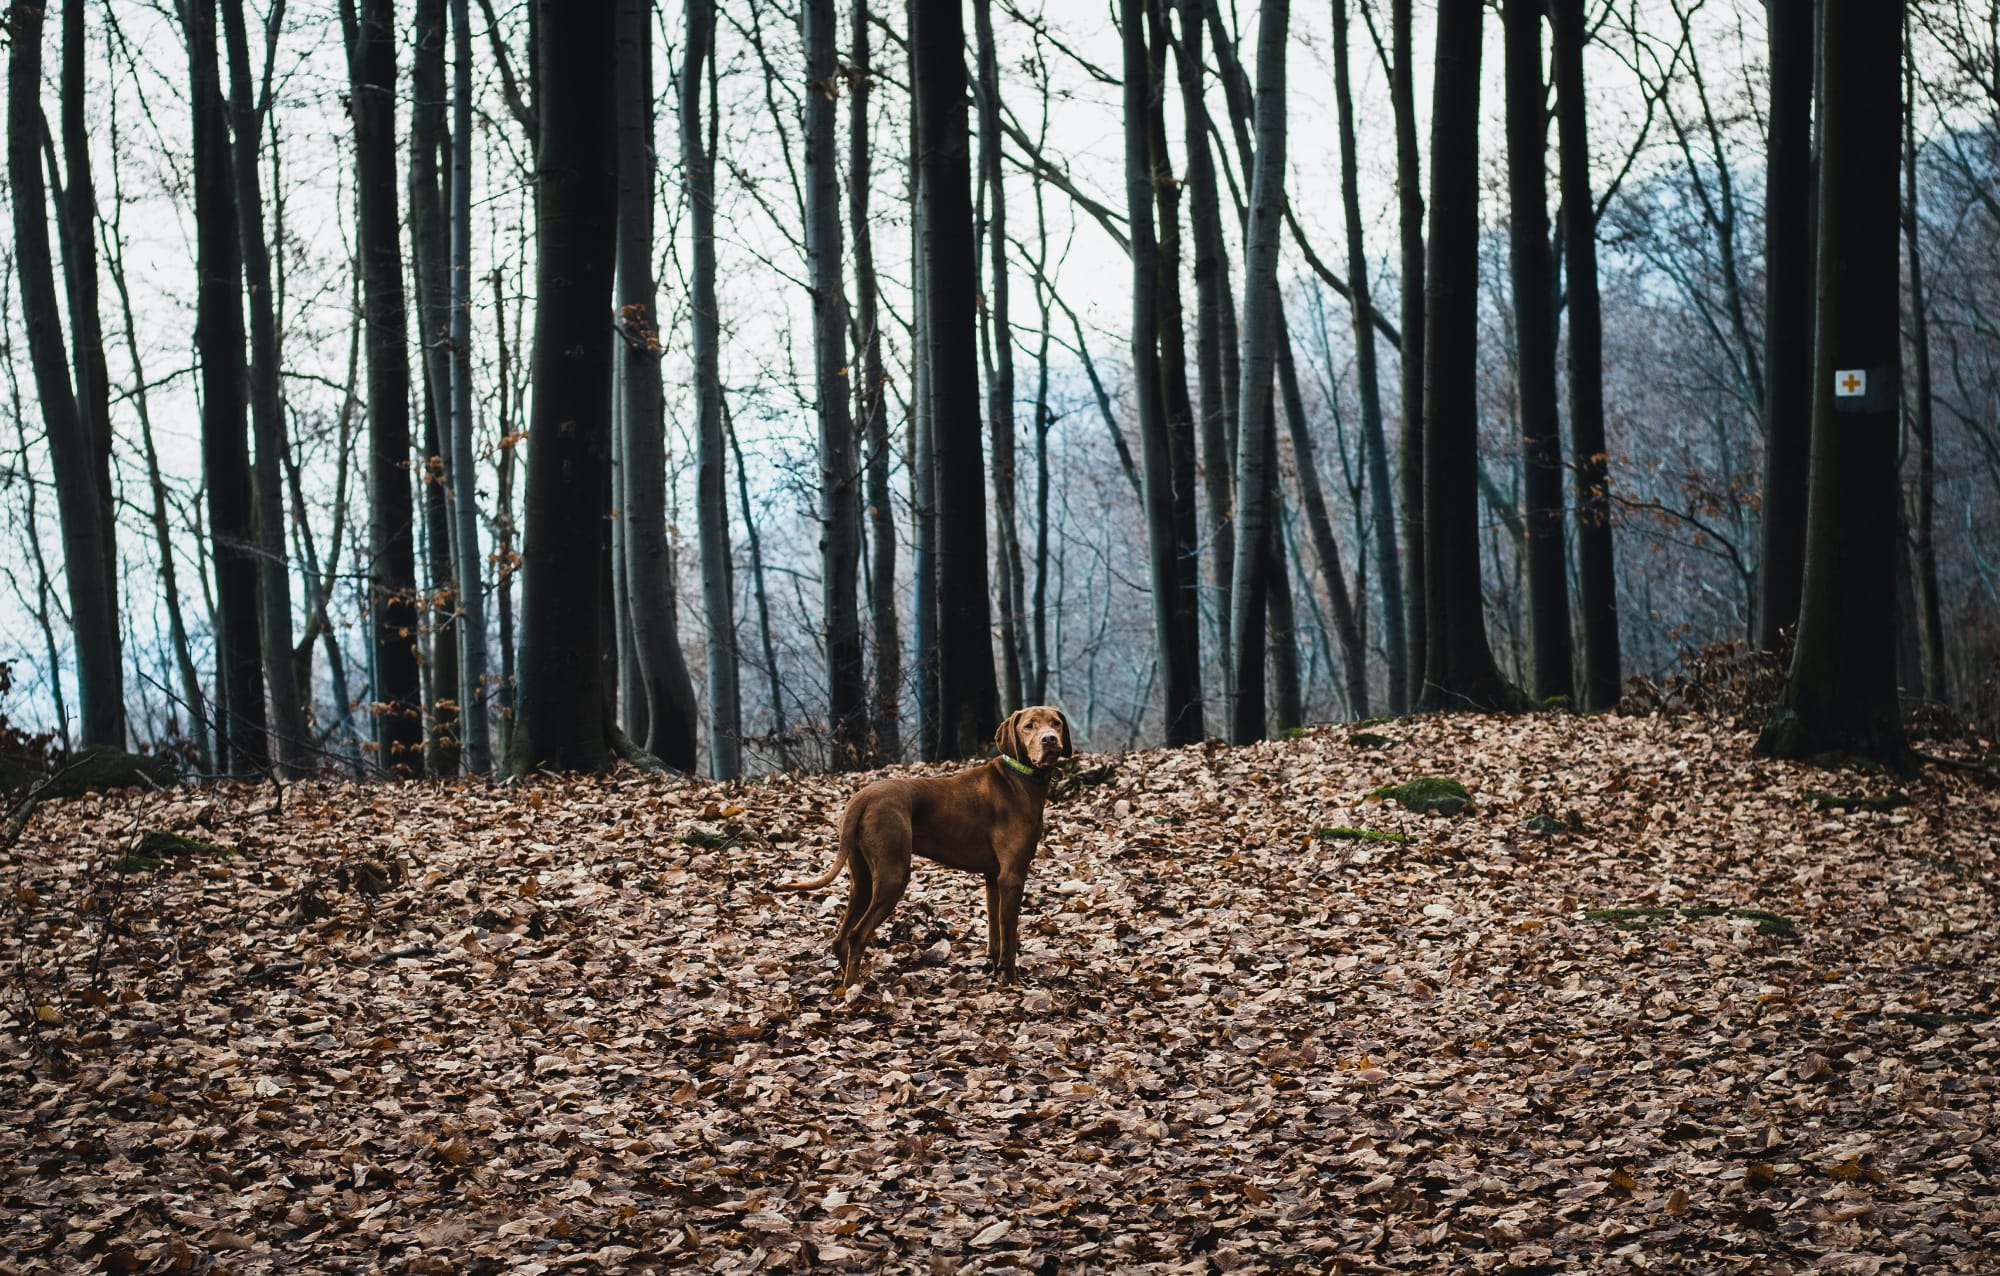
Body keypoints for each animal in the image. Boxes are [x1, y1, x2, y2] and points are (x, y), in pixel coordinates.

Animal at [772, 712, 1072, 992]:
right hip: (894, 875)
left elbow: (996, 934)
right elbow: (1010, 939)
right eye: (1029, 726)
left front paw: (994, 969)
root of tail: (862, 797)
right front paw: (1010, 981)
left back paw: (850, 984)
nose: (1049, 740)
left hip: (863, 879)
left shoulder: (993, 878)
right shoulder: (1012, 877)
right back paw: (855, 989)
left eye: (1056, 723)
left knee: (840, 938)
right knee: (857, 935)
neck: (1018, 778)